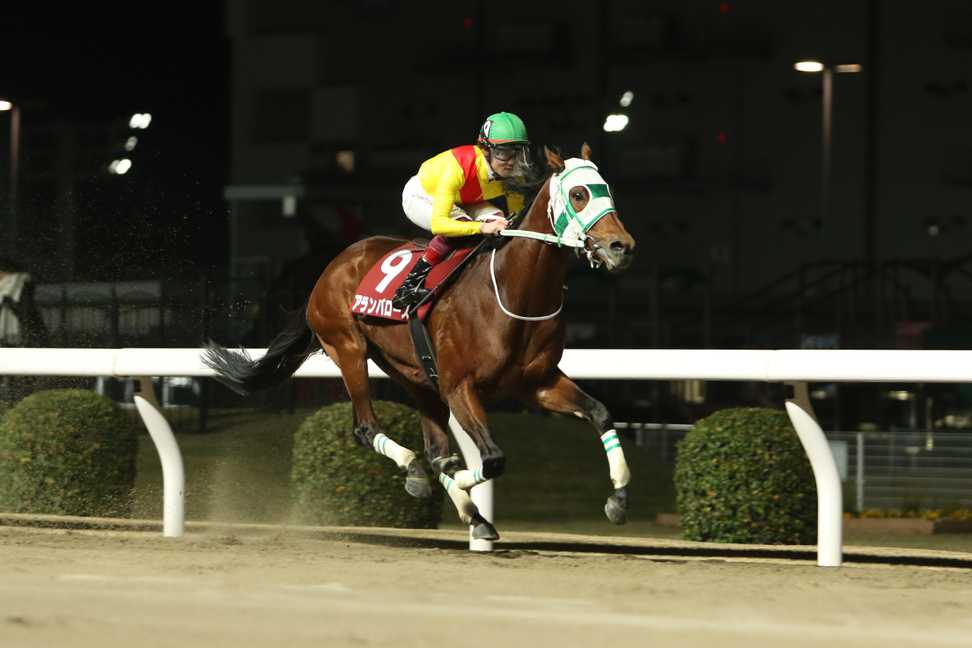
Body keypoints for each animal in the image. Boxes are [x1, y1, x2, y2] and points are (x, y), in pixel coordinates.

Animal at [205, 144, 636, 540]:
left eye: (608, 190)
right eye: (579, 194)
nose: (622, 247)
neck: (514, 292)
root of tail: (334, 265)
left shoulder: (536, 382)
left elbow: (600, 413)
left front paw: (618, 498)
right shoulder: (460, 386)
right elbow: (491, 459)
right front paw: (456, 480)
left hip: (414, 374)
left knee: (431, 444)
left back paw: (472, 515)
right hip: (348, 348)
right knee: (366, 428)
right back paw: (417, 472)